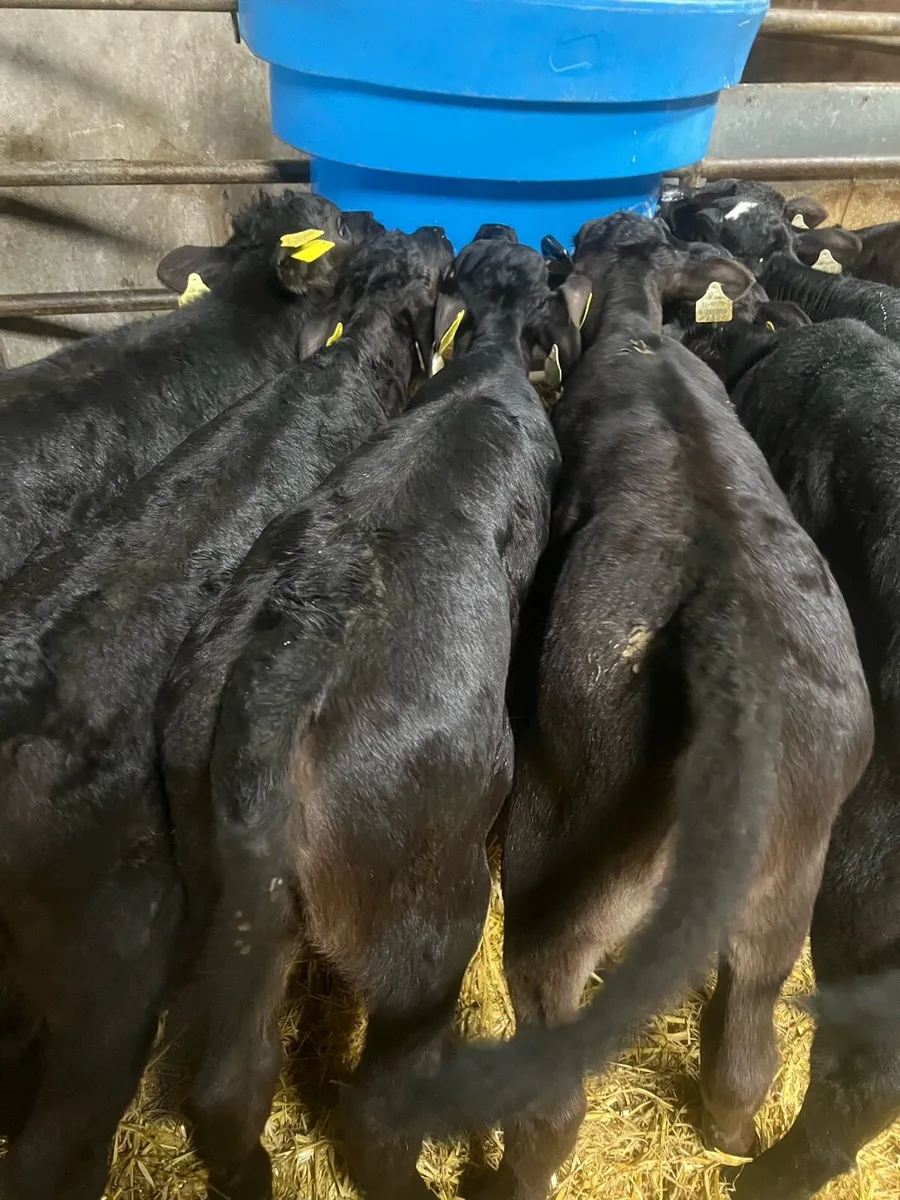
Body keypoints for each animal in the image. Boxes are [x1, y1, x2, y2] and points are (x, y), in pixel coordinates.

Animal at [152, 229, 591, 1200]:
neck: (485, 361)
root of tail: (277, 682)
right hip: (426, 921)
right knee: (381, 1098)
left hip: (234, 911)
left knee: (230, 1085)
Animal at [377, 212, 873, 1200]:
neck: (641, 333)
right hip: (784, 886)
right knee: (748, 1048)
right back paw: (736, 1146)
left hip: (562, 864)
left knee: (550, 1097)